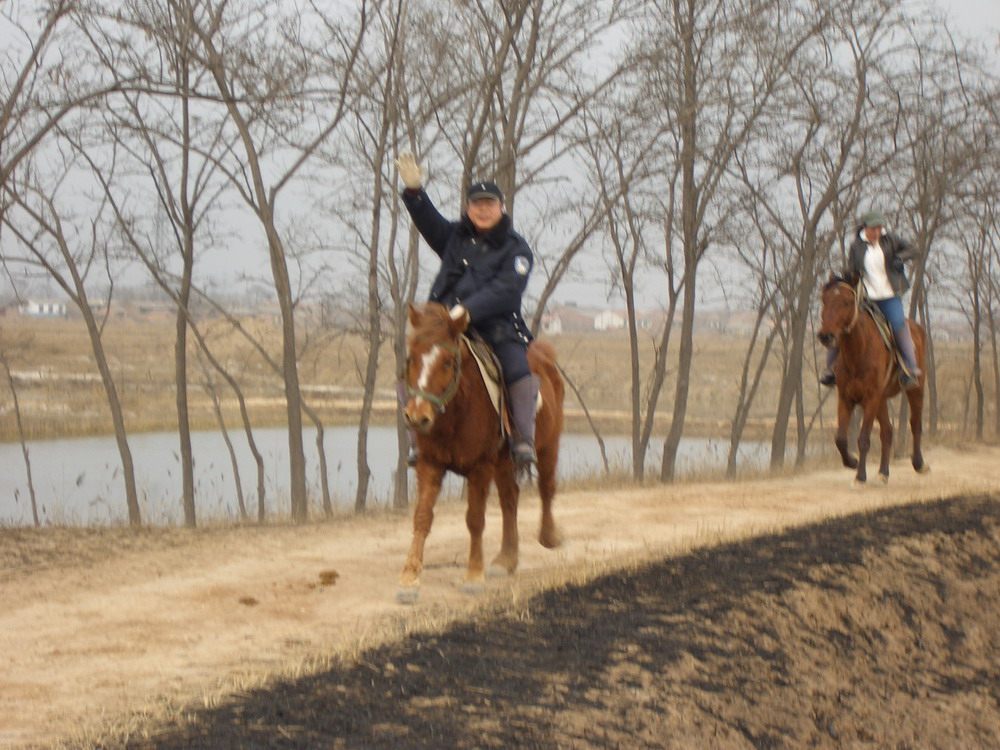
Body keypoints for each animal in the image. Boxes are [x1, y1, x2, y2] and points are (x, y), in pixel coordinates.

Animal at [400, 302, 572, 604]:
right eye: (412, 359)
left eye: (448, 361)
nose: (417, 417)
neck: (456, 410)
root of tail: (545, 357)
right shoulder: (429, 464)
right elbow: (422, 517)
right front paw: (410, 579)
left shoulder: (480, 467)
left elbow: (475, 520)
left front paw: (472, 576)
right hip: (504, 462)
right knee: (510, 499)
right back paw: (506, 559)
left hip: (548, 446)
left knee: (546, 487)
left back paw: (548, 536)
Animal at [820, 274, 928, 482]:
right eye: (824, 300)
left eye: (847, 302)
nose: (826, 336)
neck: (858, 351)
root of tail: (917, 327)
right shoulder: (846, 397)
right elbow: (841, 438)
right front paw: (852, 462)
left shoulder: (870, 397)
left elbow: (863, 438)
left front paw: (860, 476)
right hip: (882, 400)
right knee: (887, 432)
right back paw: (883, 473)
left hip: (915, 390)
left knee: (915, 424)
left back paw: (919, 464)